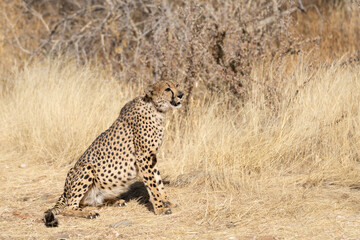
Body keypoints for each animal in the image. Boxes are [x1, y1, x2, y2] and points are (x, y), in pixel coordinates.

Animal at [44, 80, 183, 227]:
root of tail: (64, 192)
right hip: (86, 168)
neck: (156, 108)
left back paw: (116, 201)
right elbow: (152, 185)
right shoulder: (143, 157)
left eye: (177, 85)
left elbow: (158, 181)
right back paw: (89, 213)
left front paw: (167, 201)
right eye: (167, 89)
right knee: (69, 207)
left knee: (89, 202)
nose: (181, 95)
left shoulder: (151, 156)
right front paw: (160, 208)